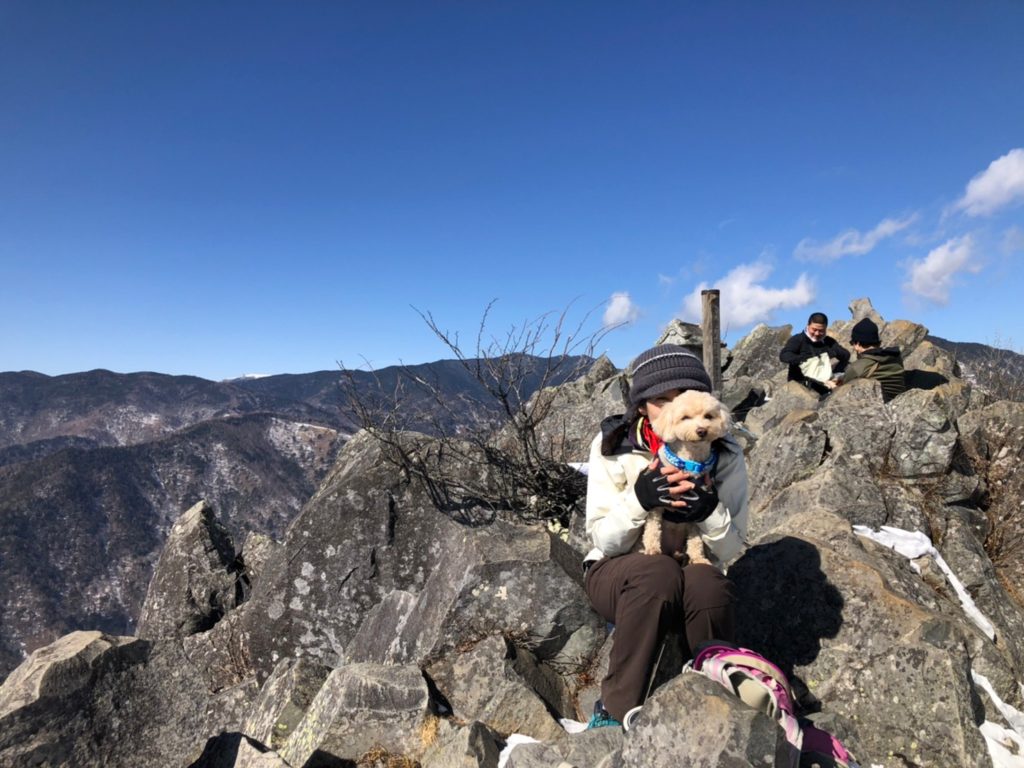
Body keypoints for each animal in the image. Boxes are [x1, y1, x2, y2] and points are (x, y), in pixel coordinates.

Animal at [641, 389, 732, 566]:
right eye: (685, 418)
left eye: (708, 416)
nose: (701, 430)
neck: (689, 463)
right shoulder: (656, 503)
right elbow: (652, 528)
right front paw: (651, 549)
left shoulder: (695, 512)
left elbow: (695, 540)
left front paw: (698, 558)